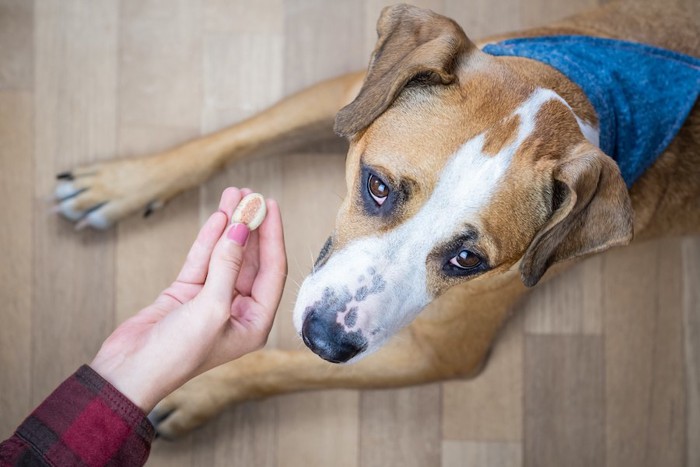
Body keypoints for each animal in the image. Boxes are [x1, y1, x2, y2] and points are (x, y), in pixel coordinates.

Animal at [52, 0, 696, 438]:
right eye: (377, 186)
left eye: (469, 259)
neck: (583, 96)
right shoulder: (352, 93)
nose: (327, 338)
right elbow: (239, 135)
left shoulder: (436, 353)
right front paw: (124, 183)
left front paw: (198, 389)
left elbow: (282, 367)